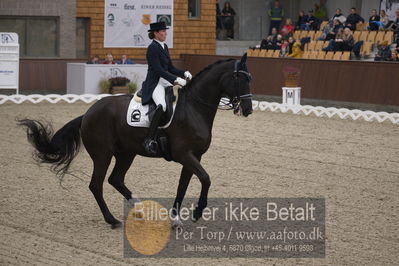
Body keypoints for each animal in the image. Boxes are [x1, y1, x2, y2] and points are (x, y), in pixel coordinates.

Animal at [18, 54, 253, 229]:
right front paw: (197, 212)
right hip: (103, 154)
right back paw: (112, 220)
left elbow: (183, 186)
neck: (194, 108)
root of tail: (88, 113)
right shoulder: (184, 154)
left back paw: (140, 209)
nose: (248, 110)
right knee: (96, 185)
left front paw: (176, 220)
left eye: (249, 78)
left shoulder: (194, 156)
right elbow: (206, 178)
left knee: (115, 179)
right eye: (240, 79)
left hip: (126, 153)